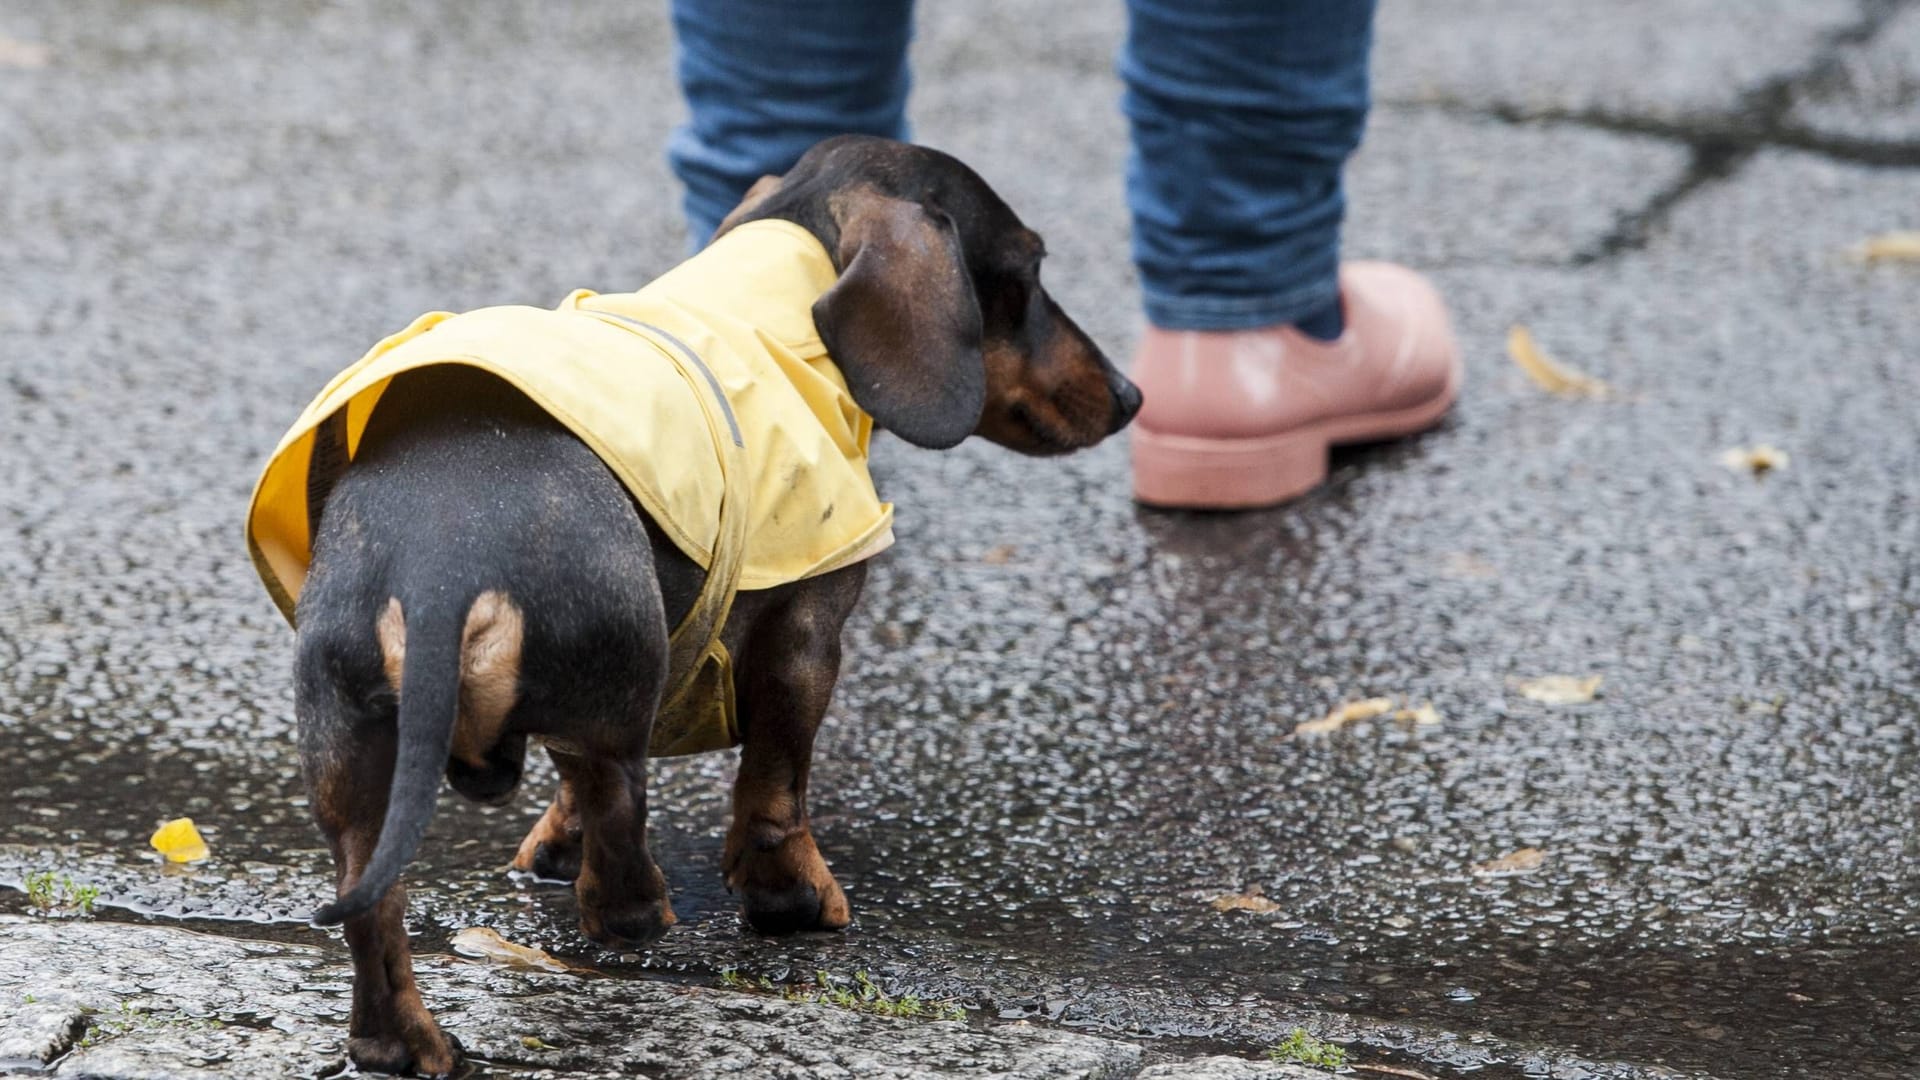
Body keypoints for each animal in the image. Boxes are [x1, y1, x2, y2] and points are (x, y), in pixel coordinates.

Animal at [284, 136, 1136, 1068]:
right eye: (1027, 270)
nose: (1130, 395)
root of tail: (440, 572)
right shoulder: (808, 635)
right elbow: (774, 787)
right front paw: (792, 899)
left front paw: (553, 848)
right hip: (623, 675)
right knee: (616, 803)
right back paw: (637, 912)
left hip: (355, 748)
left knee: (376, 903)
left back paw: (403, 1043)